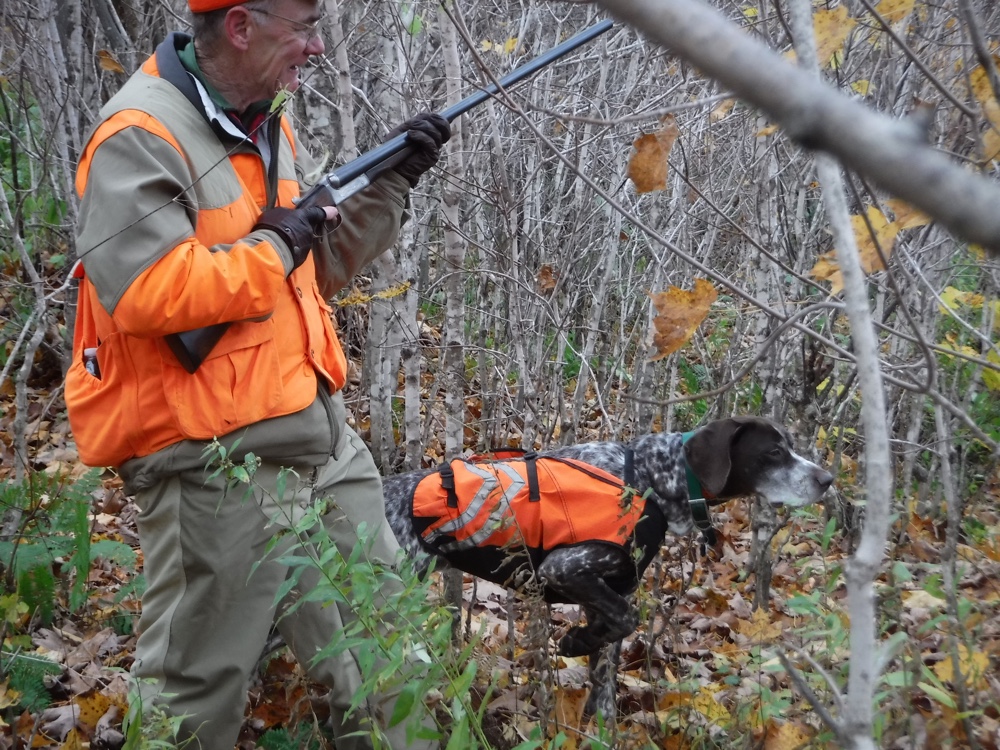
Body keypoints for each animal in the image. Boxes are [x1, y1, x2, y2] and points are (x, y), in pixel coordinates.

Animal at [378, 420, 832, 720]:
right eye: (774, 452)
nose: (827, 479)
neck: (650, 479)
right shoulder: (562, 568)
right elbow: (627, 620)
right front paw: (575, 641)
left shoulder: (610, 590)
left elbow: (607, 665)